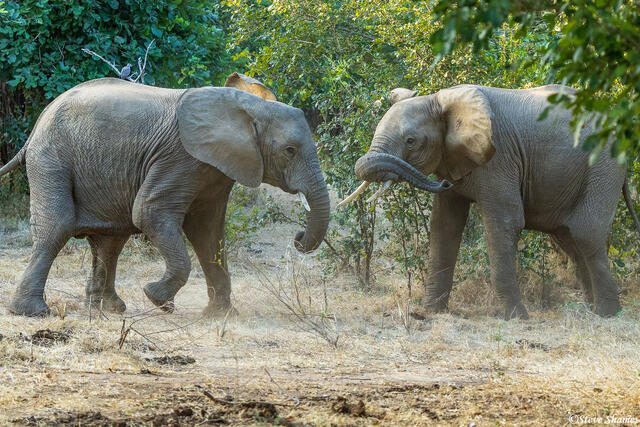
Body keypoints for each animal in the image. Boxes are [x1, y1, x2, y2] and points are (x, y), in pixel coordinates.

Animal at [0, 73, 330, 317]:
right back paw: (33, 312)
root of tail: (37, 124)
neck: (249, 107)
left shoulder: (215, 168)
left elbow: (208, 231)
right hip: (50, 159)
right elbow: (149, 213)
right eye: (289, 150)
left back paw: (109, 309)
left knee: (111, 241)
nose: (298, 238)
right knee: (58, 226)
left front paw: (220, 315)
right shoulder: (180, 158)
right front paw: (157, 299)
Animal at [340, 84, 640, 319]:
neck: (440, 99)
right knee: (568, 237)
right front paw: (431, 313)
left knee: (585, 233)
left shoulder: (499, 160)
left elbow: (505, 222)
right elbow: (445, 226)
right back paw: (592, 310)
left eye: (411, 142)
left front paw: (516, 318)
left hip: (604, 164)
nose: (443, 183)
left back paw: (607, 314)